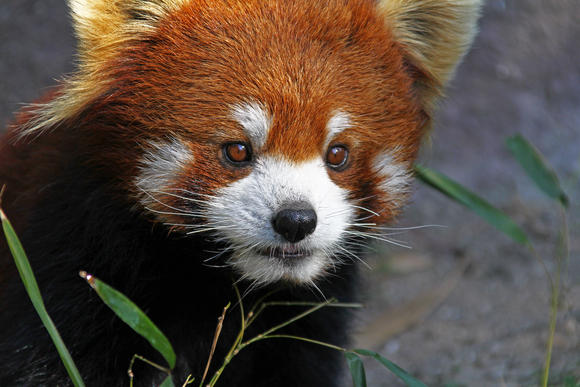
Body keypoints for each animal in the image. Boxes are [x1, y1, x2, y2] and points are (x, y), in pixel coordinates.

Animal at [0, 1, 480, 386]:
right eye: (237, 150)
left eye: (338, 154)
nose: (296, 220)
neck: (219, 286)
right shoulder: (72, 270)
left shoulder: (305, 322)